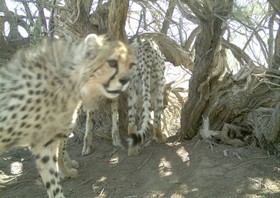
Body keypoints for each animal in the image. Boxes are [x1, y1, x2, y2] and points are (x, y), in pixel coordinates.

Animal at [0, 34, 136, 198]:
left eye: (131, 65)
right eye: (112, 62)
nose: (126, 81)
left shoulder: (44, 142)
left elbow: (54, 180)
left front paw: (64, 172)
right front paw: (65, 172)